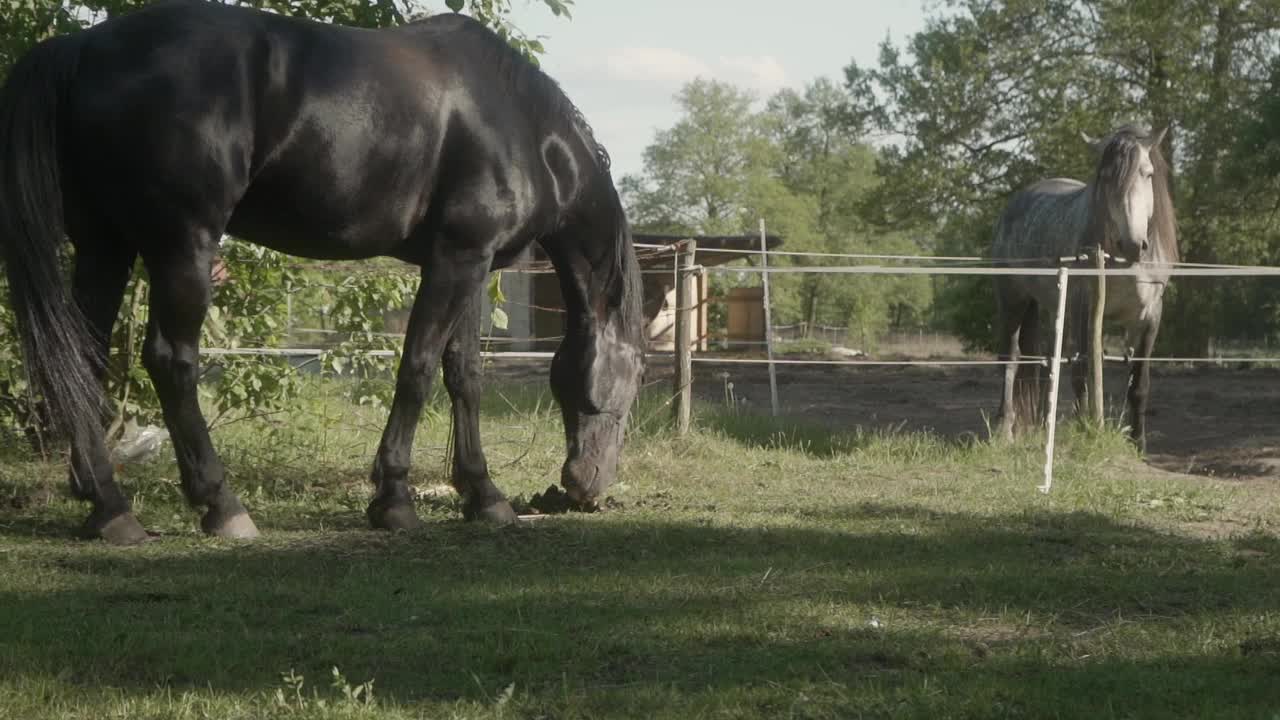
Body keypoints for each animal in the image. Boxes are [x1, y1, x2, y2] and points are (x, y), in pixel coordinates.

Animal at [0, 0, 640, 538]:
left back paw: (108, 507)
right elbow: (417, 369)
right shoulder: (457, 259)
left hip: (104, 246)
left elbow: (464, 376)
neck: (522, 125)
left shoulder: (470, 264)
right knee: (170, 360)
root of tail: (85, 46)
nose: (588, 485)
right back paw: (221, 505)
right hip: (183, 246)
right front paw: (394, 499)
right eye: (630, 382)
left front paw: (484, 495)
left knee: (83, 359)